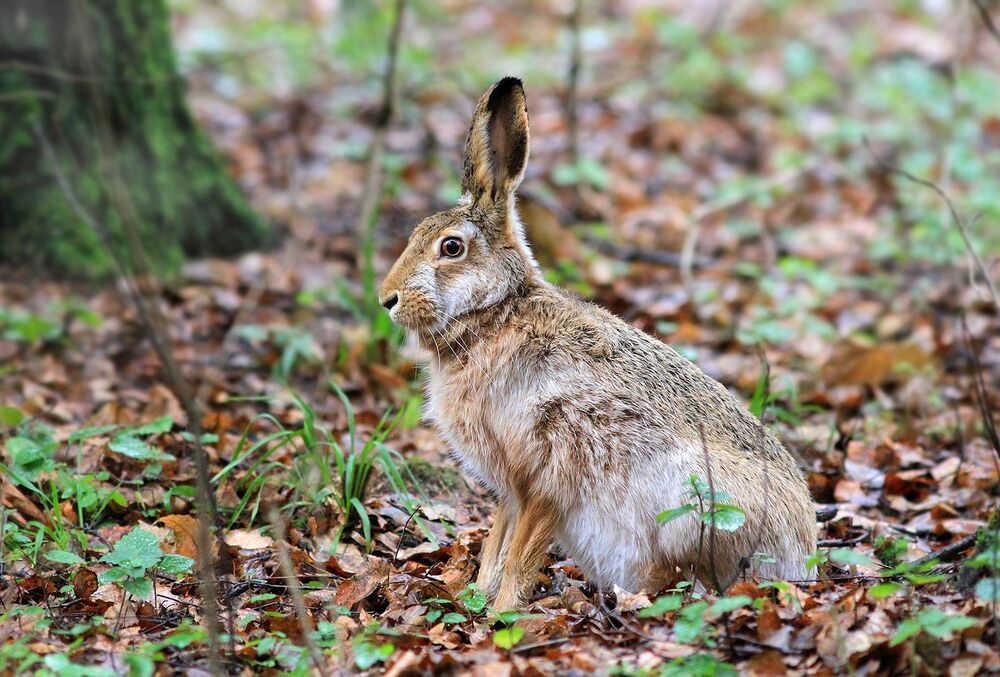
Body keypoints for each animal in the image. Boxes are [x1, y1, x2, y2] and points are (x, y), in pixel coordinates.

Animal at [379, 76, 817, 610]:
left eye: (451, 247)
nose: (387, 299)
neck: (495, 312)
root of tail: (803, 556)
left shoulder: (548, 469)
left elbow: (520, 555)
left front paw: (502, 613)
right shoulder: (509, 489)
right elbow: (496, 546)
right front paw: (477, 601)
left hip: (694, 508)